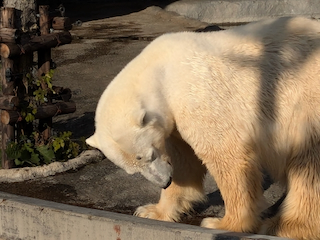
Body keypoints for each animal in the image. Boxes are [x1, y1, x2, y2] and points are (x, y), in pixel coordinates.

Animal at [86, 15, 320, 239]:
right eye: (132, 170)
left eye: (149, 155)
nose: (163, 182)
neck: (162, 70)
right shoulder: (173, 121)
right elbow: (184, 161)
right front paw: (152, 211)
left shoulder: (197, 96)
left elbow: (227, 156)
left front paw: (224, 224)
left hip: (303, 103)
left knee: (308, 166)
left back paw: (285, 226)